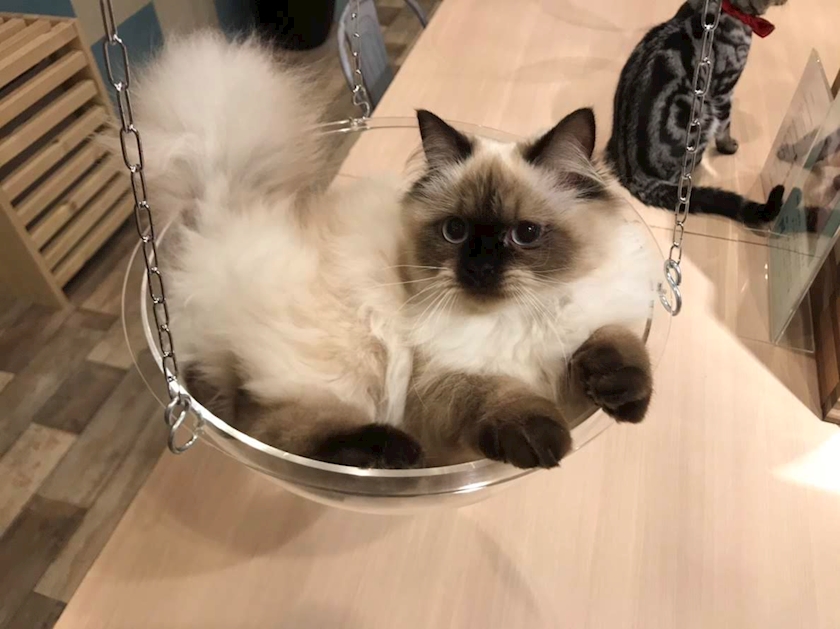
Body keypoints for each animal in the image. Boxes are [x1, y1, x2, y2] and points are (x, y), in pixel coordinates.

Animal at [130, 32, 656, 470]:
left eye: (525, 234)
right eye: (455, 231)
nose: (480, 268)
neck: (521, 318)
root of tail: (220, 214)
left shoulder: (583, 344)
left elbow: (615, 341)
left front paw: (625, 398)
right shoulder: (441, 382)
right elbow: (500, 397)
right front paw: (544, 442)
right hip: (342, 364)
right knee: (275, 434)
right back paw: (392, 452)